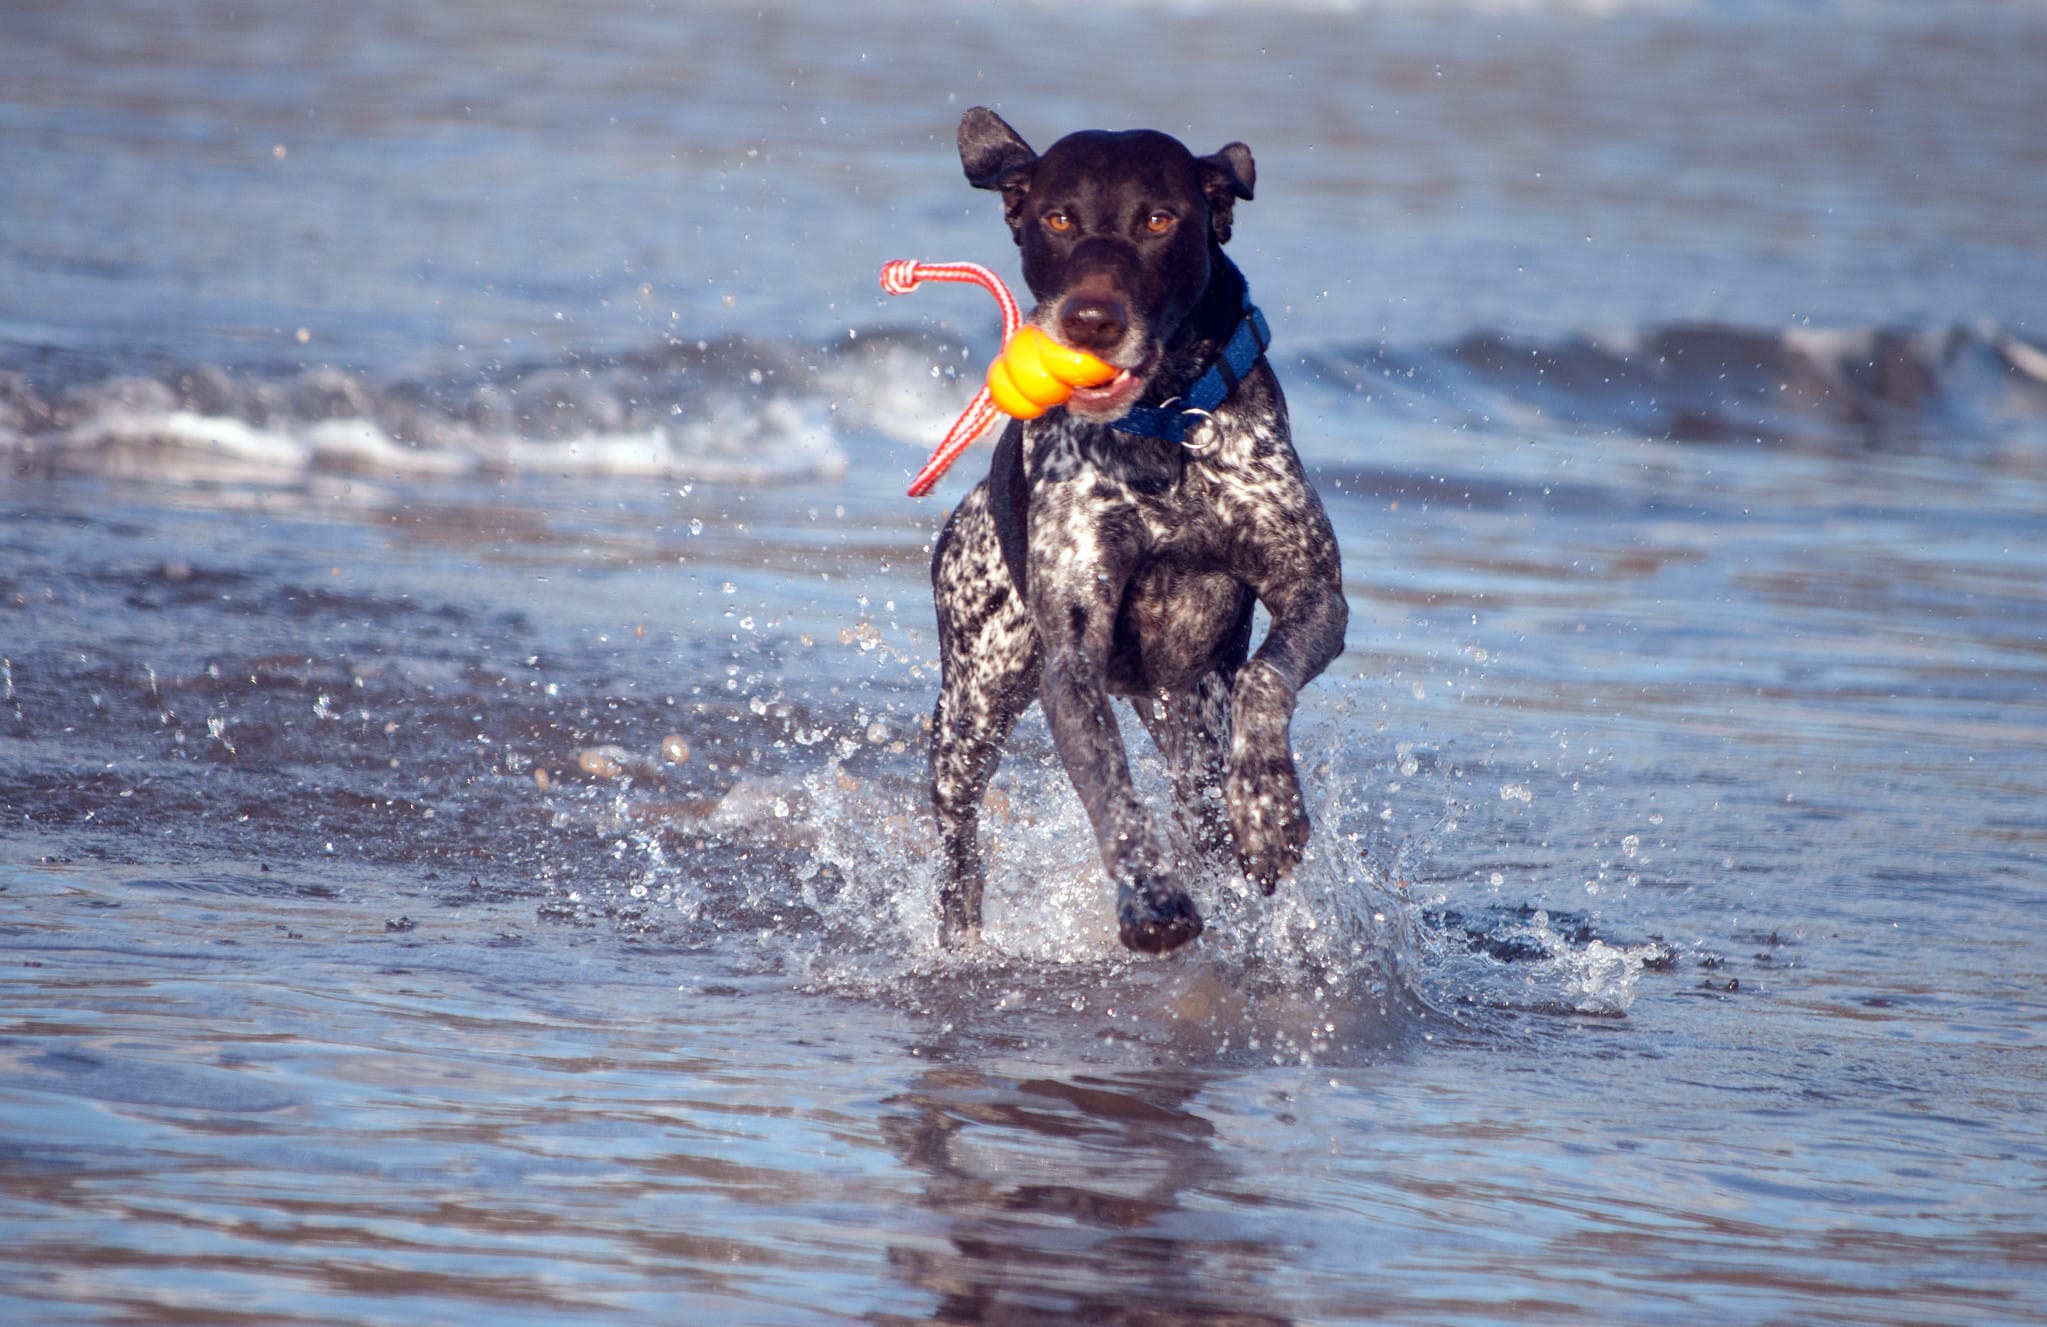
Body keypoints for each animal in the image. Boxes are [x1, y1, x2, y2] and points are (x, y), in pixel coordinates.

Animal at [925, 106, 1342, 954]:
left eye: (1157, 220)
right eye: (1057, 218)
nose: (1091, 319)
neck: (1162, 427)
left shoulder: (1315, 593)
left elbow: (1264, 678)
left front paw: (1268, 808)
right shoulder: (1072, 660)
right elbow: (1112, 795)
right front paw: (1151, 896)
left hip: (1183, 715)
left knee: (1202, 798)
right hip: (970, 710)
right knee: (959, 843)